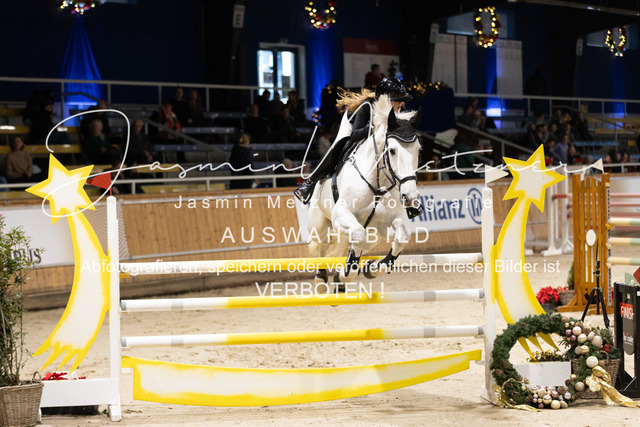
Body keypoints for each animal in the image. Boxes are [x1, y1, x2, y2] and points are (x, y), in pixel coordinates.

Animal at [306, 95, 423, 286]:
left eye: (418, 150)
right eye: (392, 151)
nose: (410, 197)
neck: (378, 184)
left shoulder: (384, 223)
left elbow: (402, 237)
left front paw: (374, 268)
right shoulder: (342, 214)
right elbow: (358, 234)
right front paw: (348, 272)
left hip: (372, 237)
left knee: (351, 247)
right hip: (320, 224)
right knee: (323, 245)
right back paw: (322, 279)